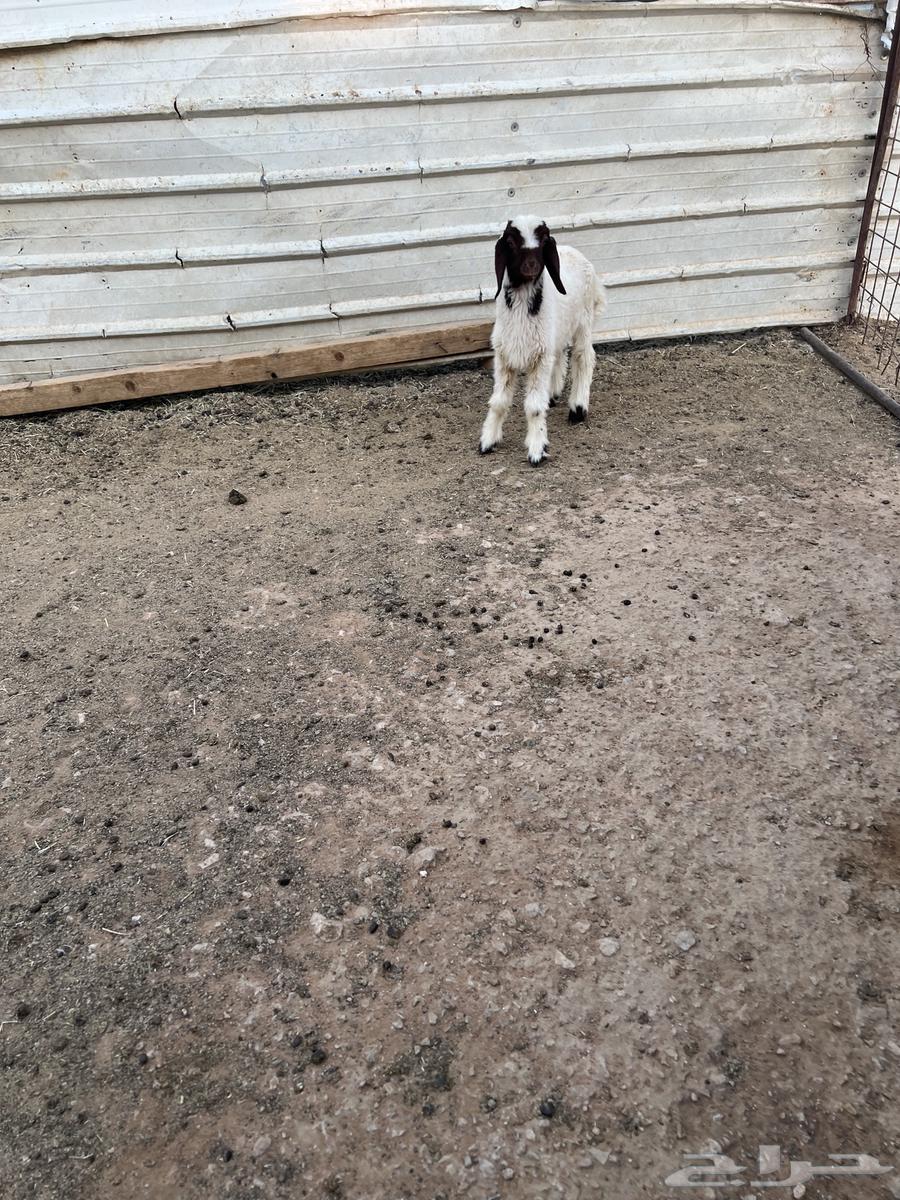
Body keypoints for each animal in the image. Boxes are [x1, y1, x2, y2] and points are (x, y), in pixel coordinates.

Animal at [478, 216, 606, 465]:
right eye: (511, 241)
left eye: (544, 240)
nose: (532, 266)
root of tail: (574, 251)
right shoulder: (504, 356)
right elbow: (498, 401)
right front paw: (488, 441)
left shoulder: (539, 357)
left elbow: (534, 407)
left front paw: (537, 449)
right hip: (556, 333)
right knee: (561, 354)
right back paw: (553, 393)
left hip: (583, 322)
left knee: (584, 357)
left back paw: (578, 408)